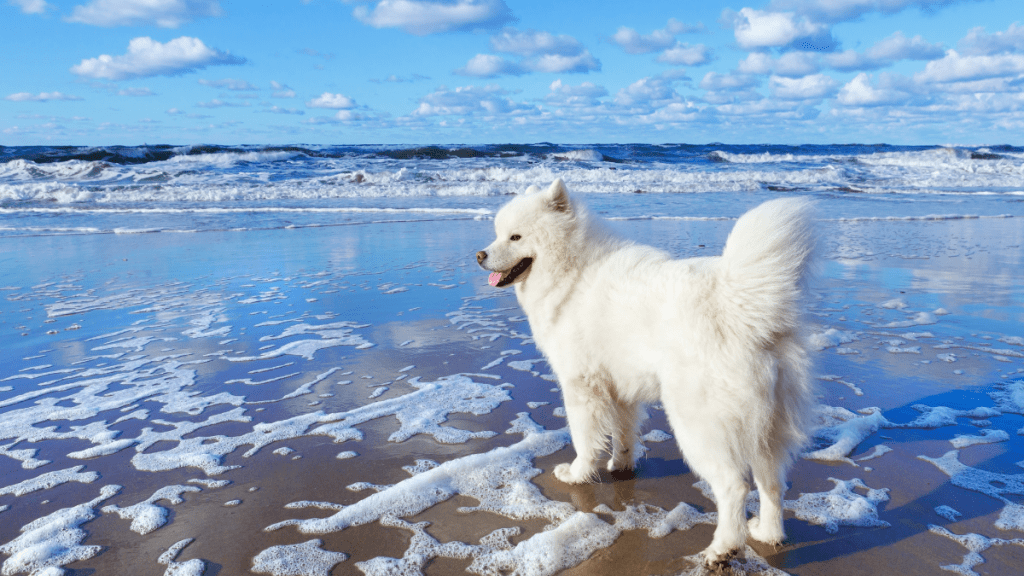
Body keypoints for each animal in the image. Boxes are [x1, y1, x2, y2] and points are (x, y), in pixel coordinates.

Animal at [475, 178, 819, 565]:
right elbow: (623, 433)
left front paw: (577, 474)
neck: (574, 270)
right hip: (767, 428)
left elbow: (584, 438)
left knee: (735, 486)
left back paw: (723, 548)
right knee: (772, 482)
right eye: (498, 234)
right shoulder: (619, 387)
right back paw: (767, 533)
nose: (480, 255)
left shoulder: (581, 386)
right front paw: (621, 466)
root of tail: (741, 306)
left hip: (698, 424)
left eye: (515, 237)